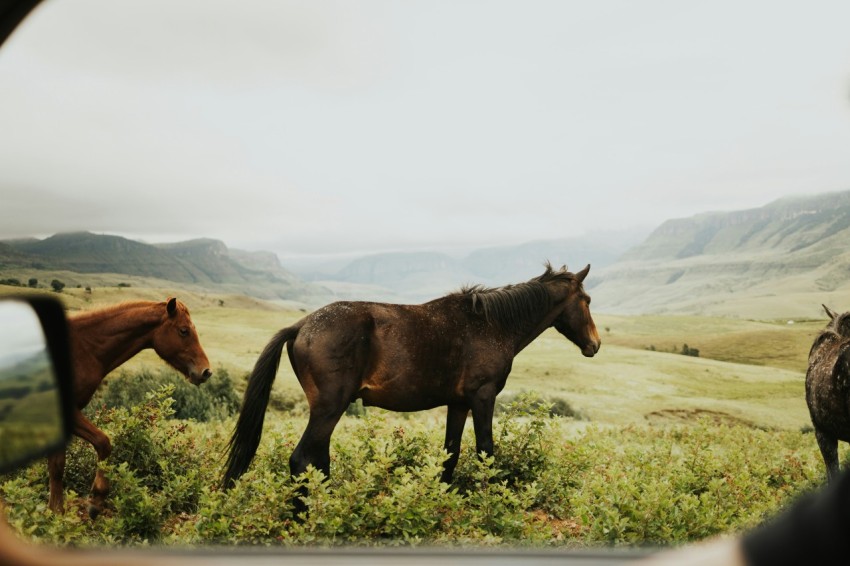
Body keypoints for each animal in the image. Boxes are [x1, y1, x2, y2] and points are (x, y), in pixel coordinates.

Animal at [47, 297, 212, 518]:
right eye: (184, 331)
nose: (206, 371)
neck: (83, 348)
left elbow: (57, 467)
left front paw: (55, 513)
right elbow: (103, 443)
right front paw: (95, 500)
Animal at [223, 262, 600, 495]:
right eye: (587, 300)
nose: (594, 344)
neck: (491, 326)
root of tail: (301, 326)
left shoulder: (459, 404)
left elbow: (450, 453)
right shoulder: (483, 398)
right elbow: (485, 452)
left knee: (318, 460)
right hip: (329, 407)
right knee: (303, 460)